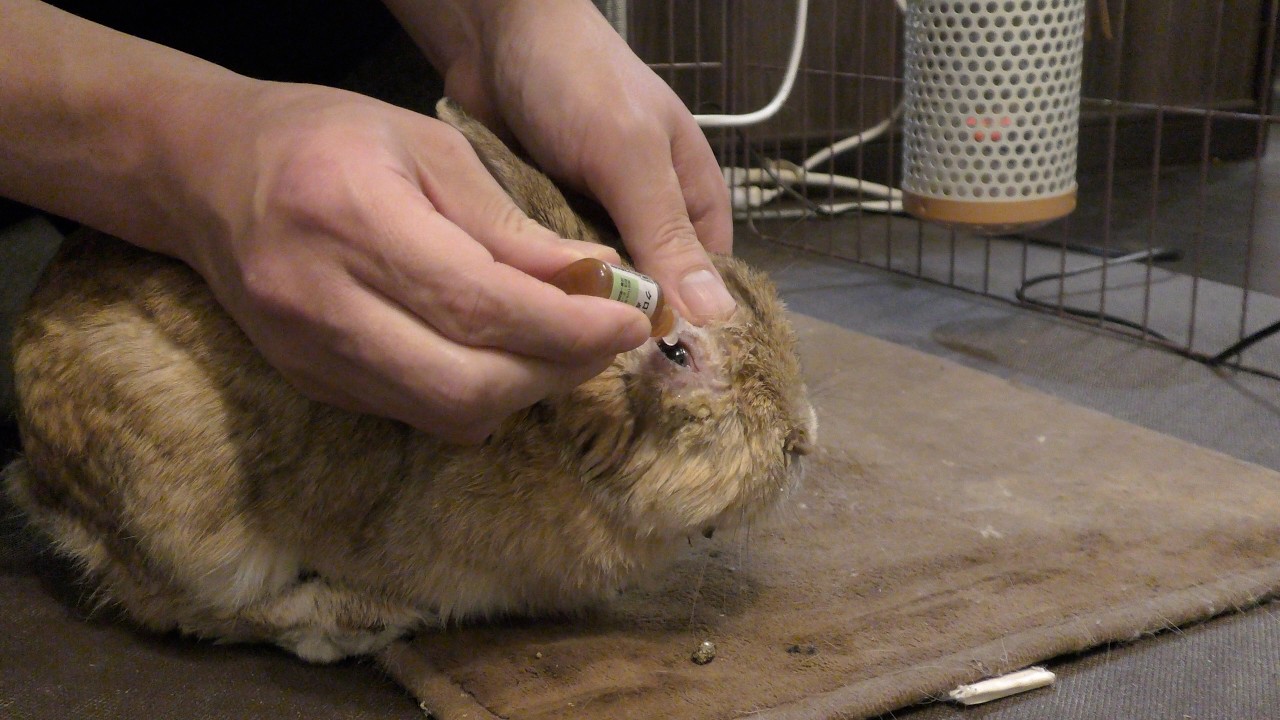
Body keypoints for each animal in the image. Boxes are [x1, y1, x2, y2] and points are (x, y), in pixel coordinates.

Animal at [3, 99, 816, 664]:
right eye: (676, 353)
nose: (802, 438)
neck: (553, 432)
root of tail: (35, 468)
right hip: (193, 514)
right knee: (190, 606)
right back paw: (355, 621)